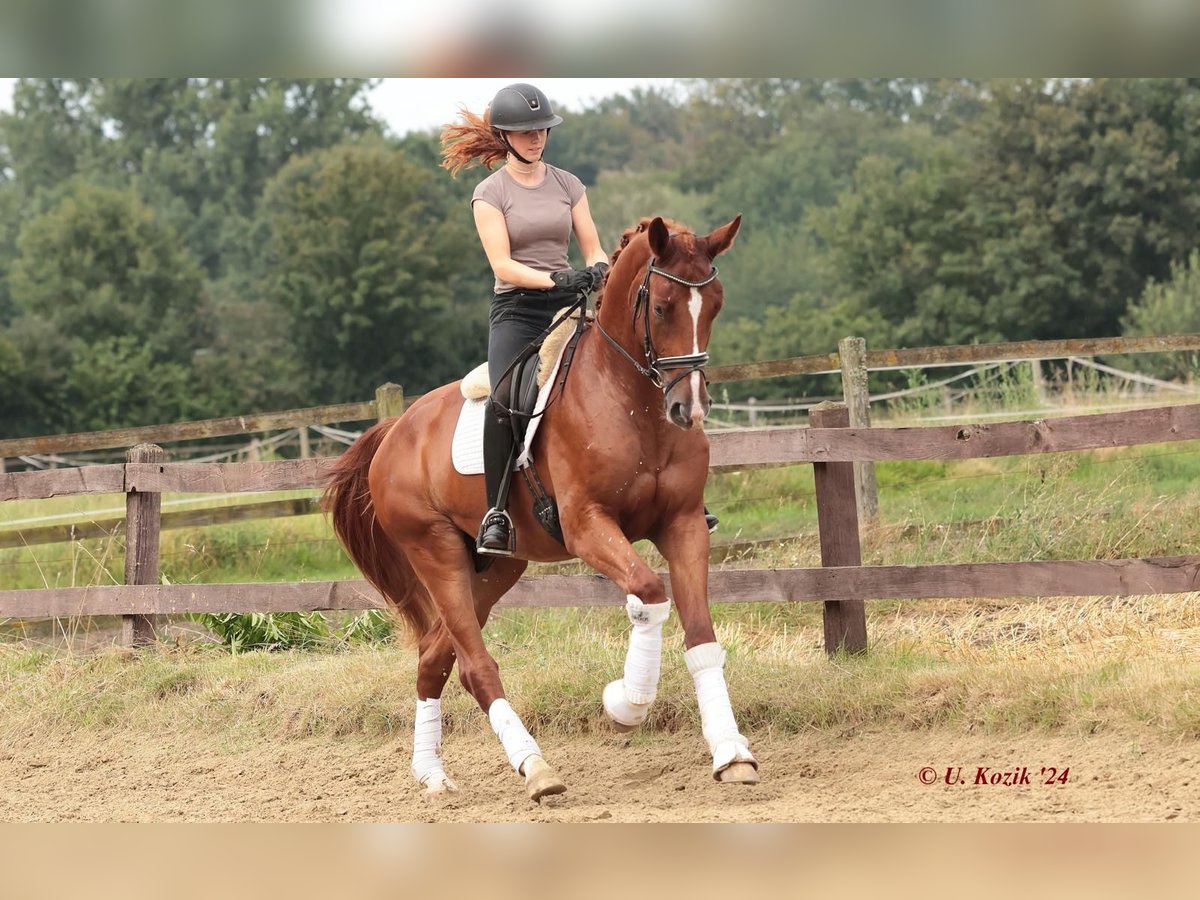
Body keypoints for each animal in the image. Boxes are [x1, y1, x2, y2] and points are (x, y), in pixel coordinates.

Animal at [326, 213, 758, 801]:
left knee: (435, 658)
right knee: (474, 666)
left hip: (496, 567)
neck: (630, 402)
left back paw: (433, 775)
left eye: (714, 304)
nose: (687, 410)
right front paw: (626, 702)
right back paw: (535, 768)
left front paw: (732, 753)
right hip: (435, 551)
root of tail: (397, 429)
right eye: (663, 307)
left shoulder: (684, 524)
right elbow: (648, 592)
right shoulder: (586, 525)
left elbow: (702, 639)